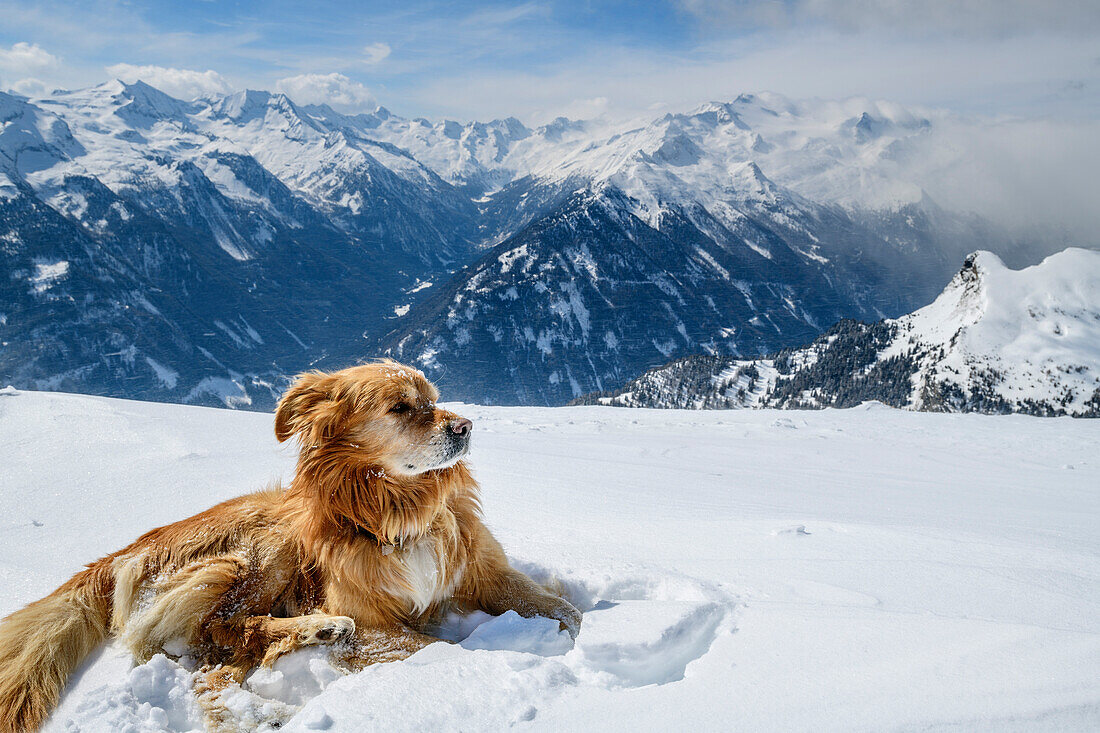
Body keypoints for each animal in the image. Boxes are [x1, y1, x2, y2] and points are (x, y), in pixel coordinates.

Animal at [0, 360, 585, 730]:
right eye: (401, 407)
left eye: (435, 402)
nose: (466, 426)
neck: (398, 514)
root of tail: (119, 554)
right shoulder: (374, 623)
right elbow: (438, 649)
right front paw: (488, 667)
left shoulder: (484, 572)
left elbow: (560, 608)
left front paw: (581, 632)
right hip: (267, 547)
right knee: (221, 631)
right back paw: (312, 645)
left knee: (218, 667)